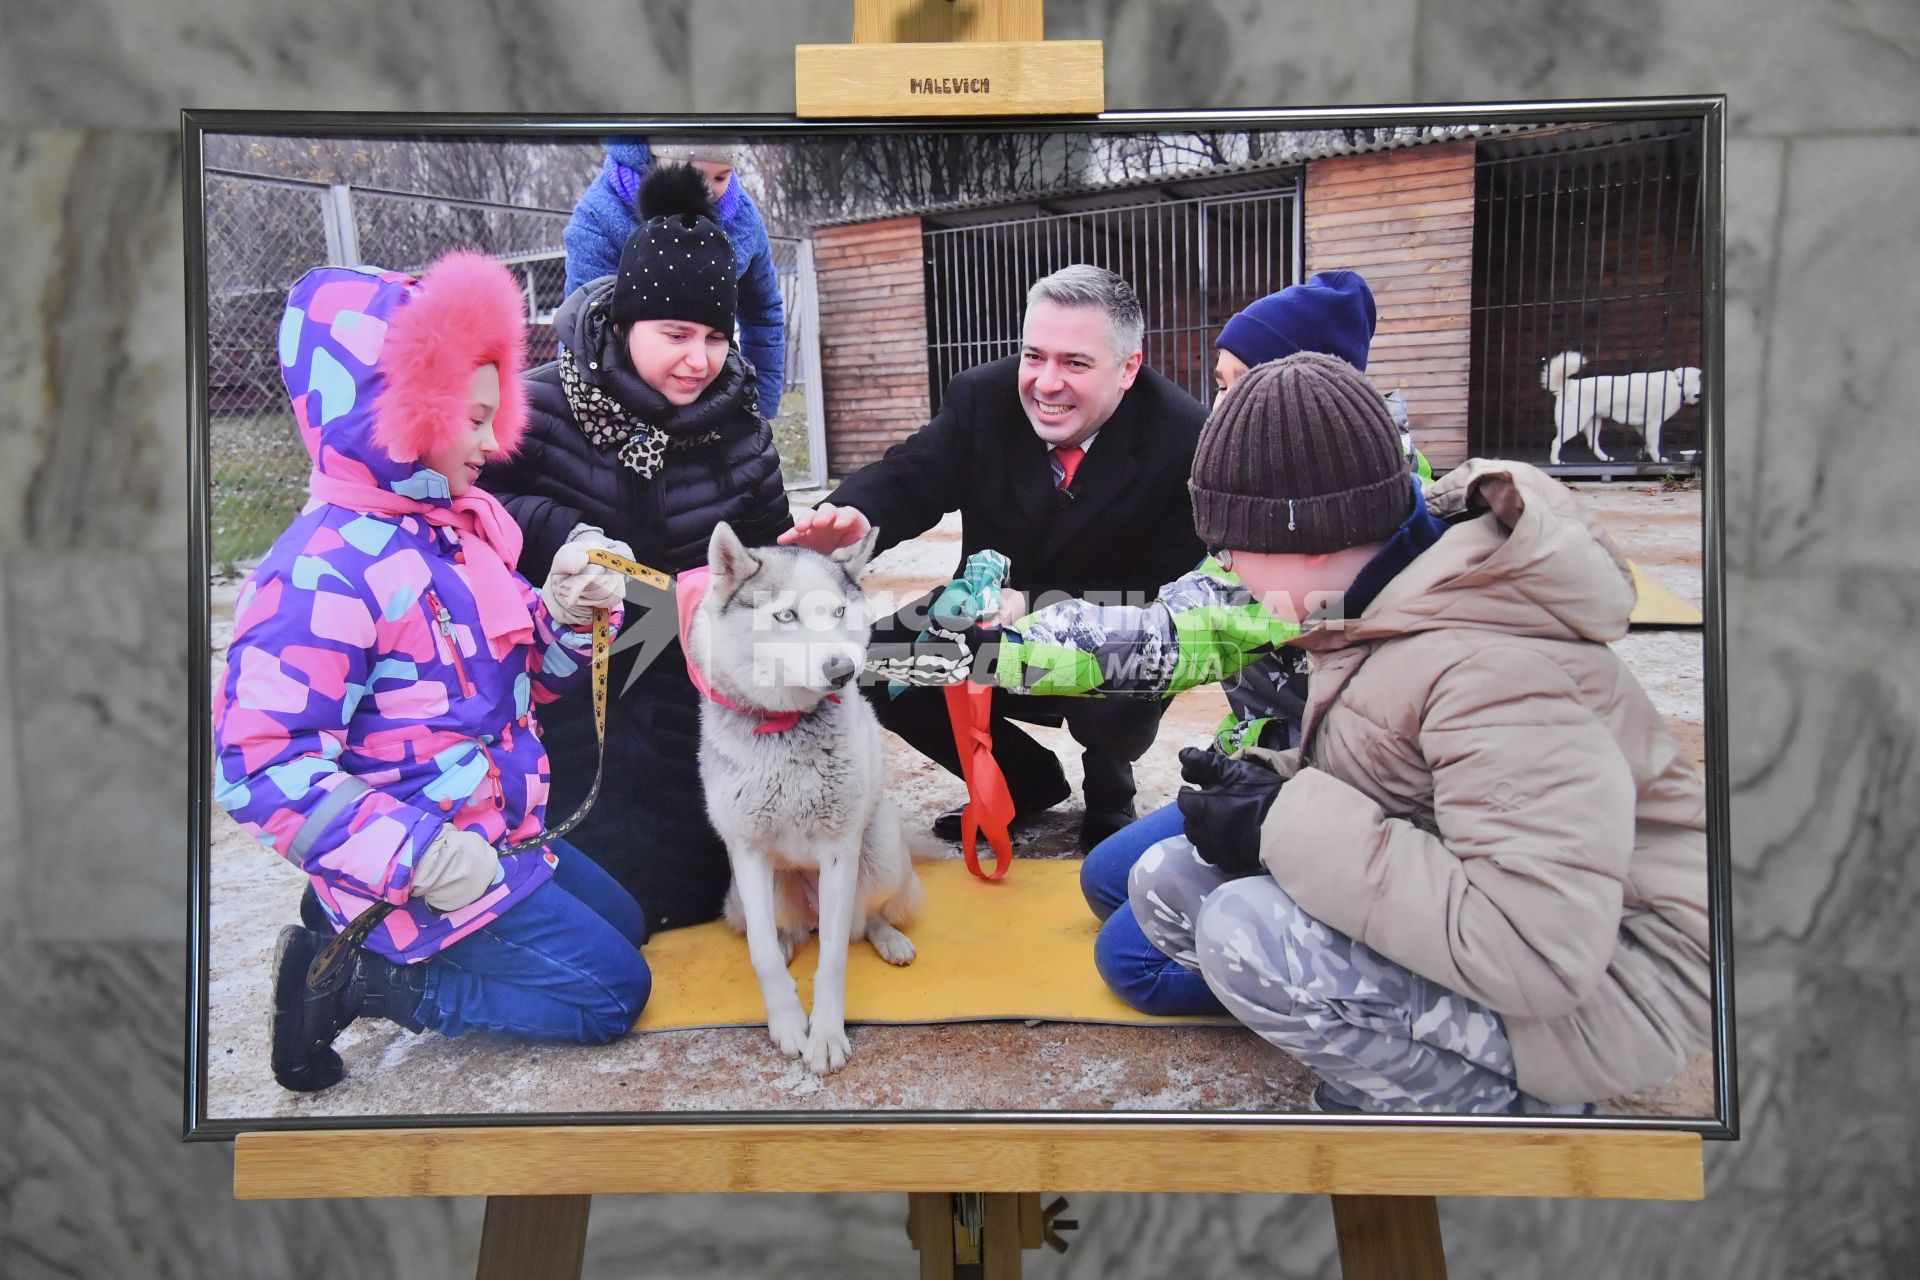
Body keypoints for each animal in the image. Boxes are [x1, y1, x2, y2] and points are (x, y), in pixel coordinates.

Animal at [691, 525, 921, 1074]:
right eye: (785, 616)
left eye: (837, 612)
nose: (841, 671)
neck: (786, 727)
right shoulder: (748, 852)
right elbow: (760, 953)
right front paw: (790, 1023)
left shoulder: (840, 848)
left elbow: (835, 958)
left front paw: (827, 1035)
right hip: (757, 892)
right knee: (786, 931)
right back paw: (789, 941)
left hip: (879, 852)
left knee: (862, 920)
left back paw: (888, 937)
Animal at [1543, 351, 1712, 466]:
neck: (1679, 383)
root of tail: (1569, 386)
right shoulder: (1653, 424)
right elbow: (1654, 445)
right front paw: (1658, 459)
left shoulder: (1643, 425)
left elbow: (1647, 443)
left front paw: (1642, 454)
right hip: (1572, 425)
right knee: (1556, 442)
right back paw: (1555, 461)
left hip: (1593, 423)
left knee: (1593, 444)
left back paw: (1606, 458)